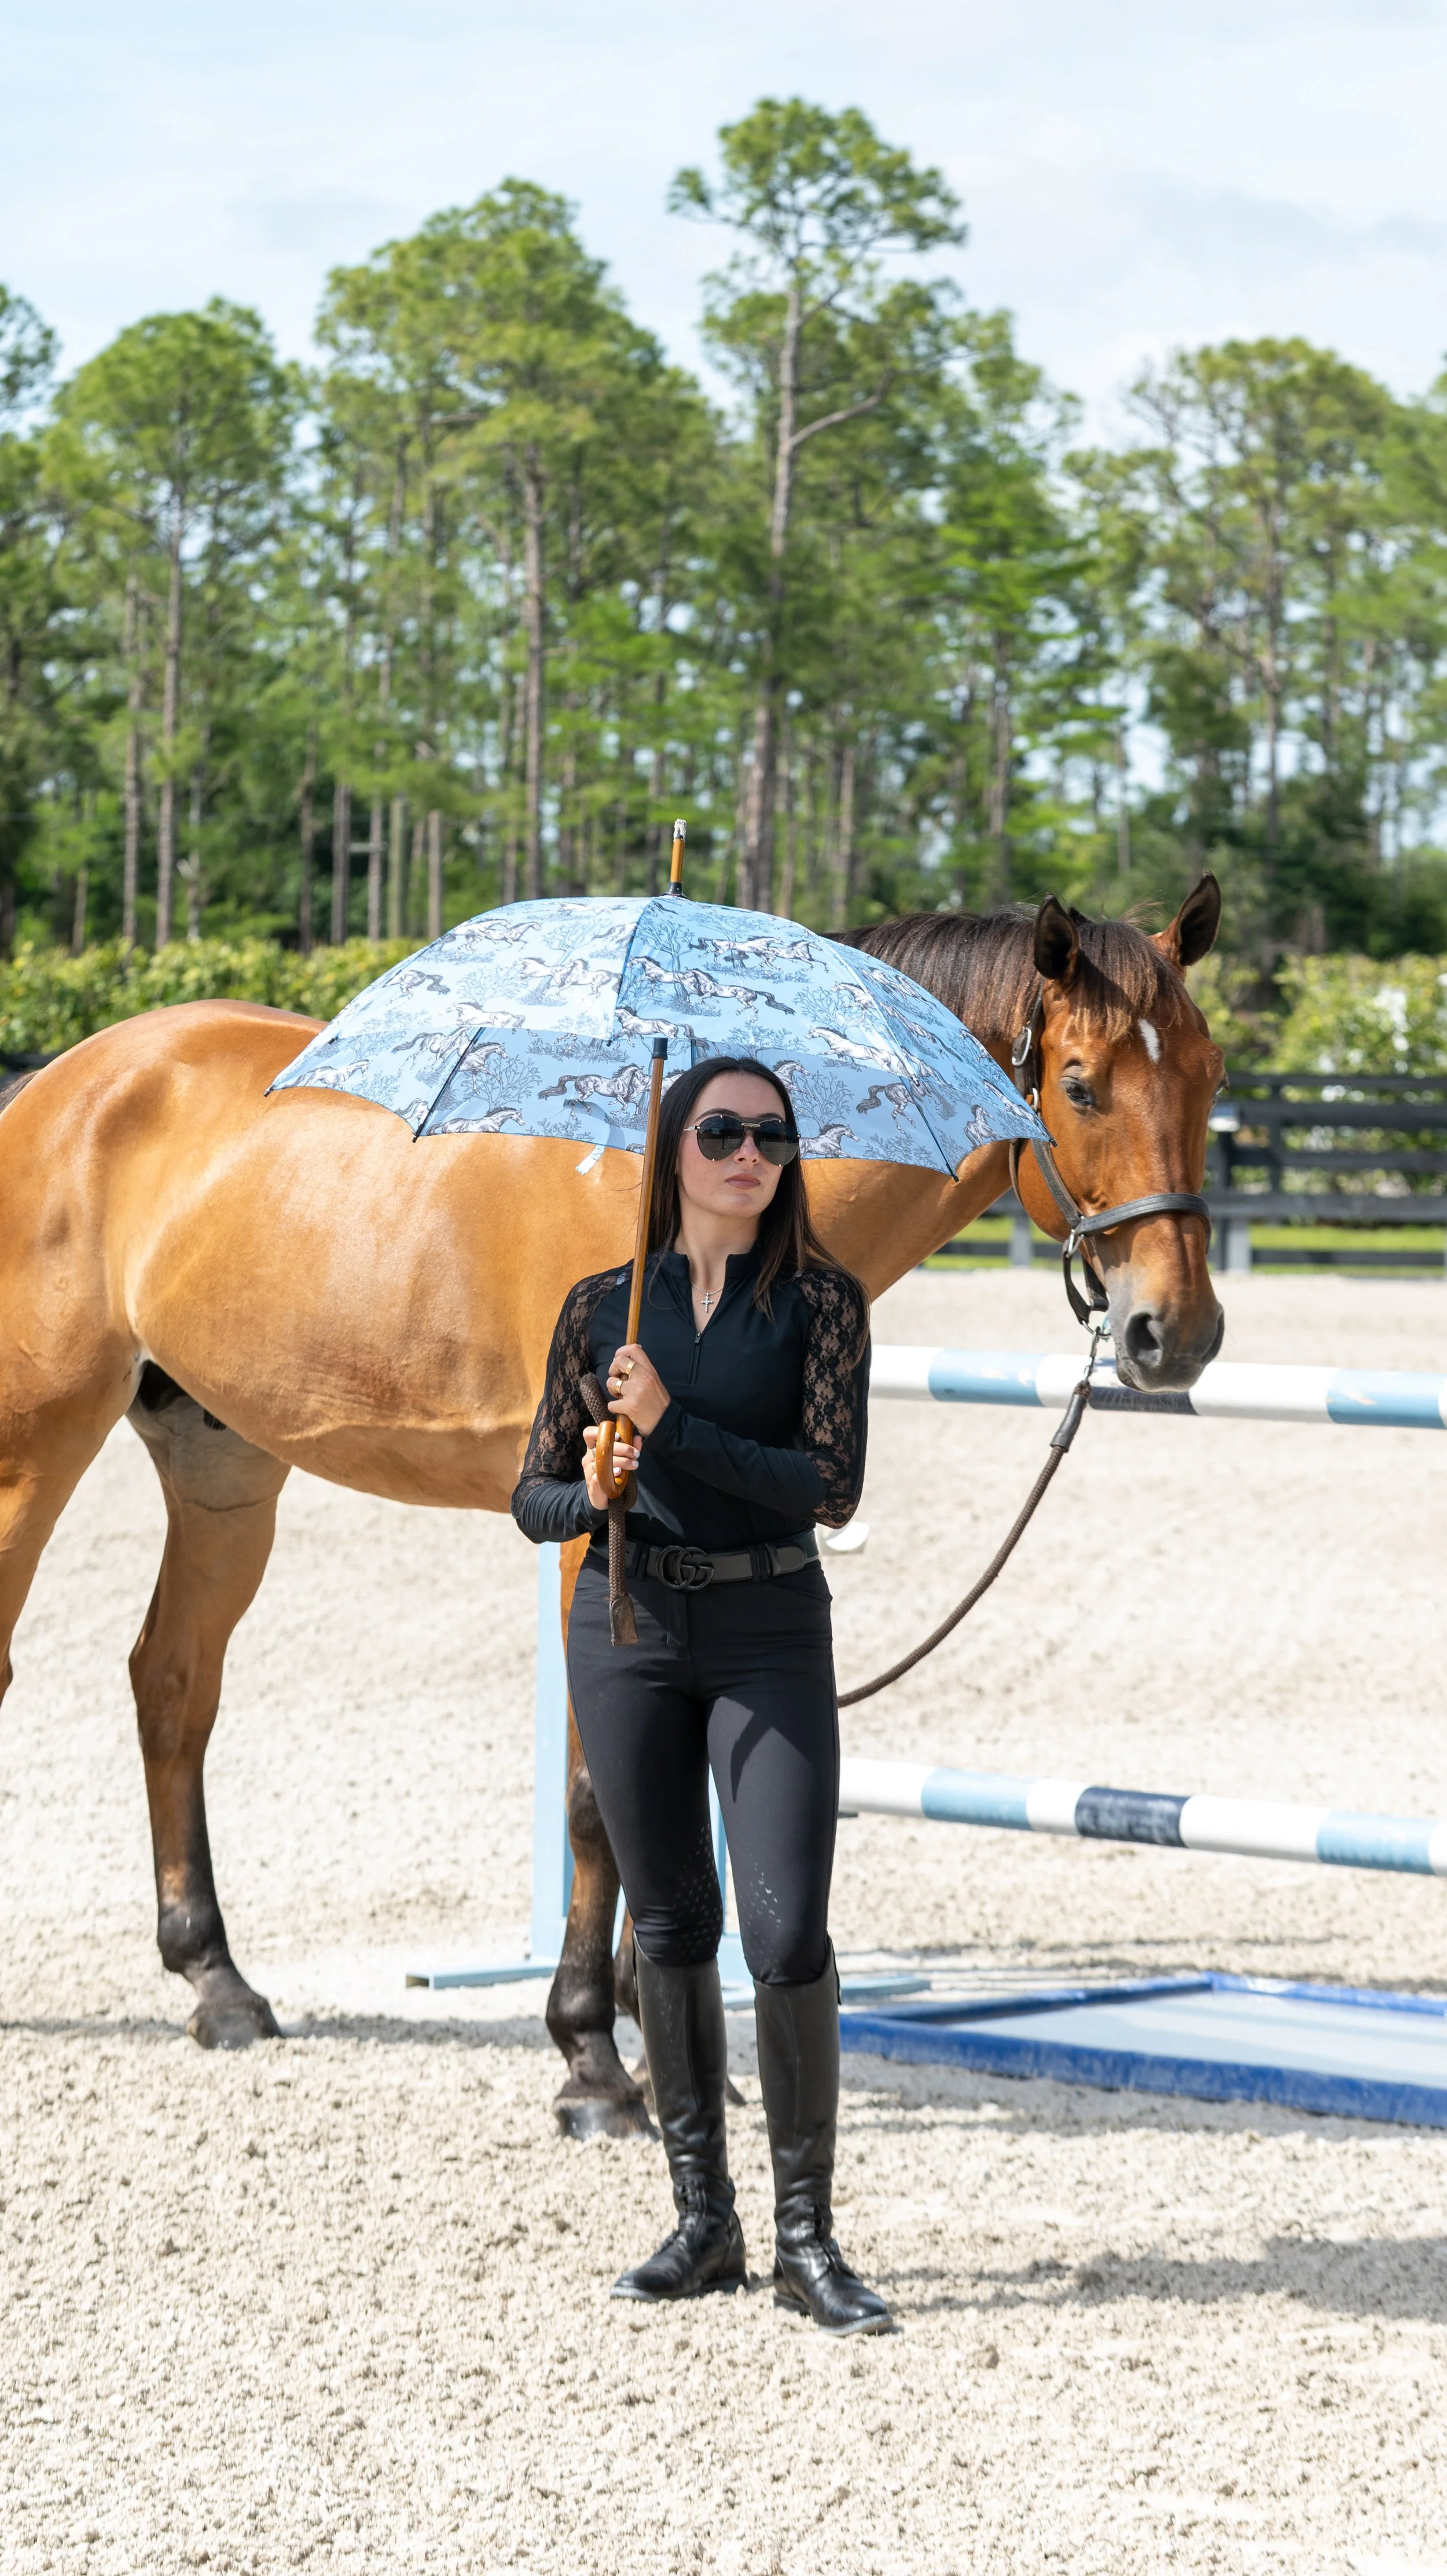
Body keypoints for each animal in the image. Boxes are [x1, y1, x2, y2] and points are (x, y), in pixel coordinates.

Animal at [0, 880, 1223, 2126]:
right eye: (1080, 1082)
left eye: (1209, 1074)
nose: (1173, 1332)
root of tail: (54, 1086)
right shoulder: (586, 1526)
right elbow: (600, 1797)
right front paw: (591, 2054)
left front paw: (670, 2039)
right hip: (33, 1454)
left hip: (225, 1470)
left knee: (172, 1684)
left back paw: (219, 1982)